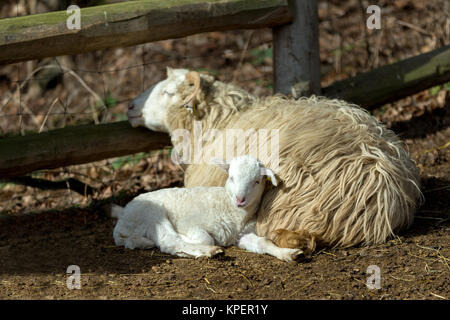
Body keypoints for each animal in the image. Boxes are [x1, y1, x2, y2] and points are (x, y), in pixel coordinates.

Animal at [111, 155, 304, 262]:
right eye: (231, 177)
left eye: (256, 181)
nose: (240, 199)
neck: (229, 207)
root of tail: (121, 223)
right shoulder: (189, 223)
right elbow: (206, 238)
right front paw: (203, 244)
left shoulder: (240, 234)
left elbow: (263, 242)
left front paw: (289, 253)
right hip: (151, 214)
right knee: (169, 242)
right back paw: (210, 251)